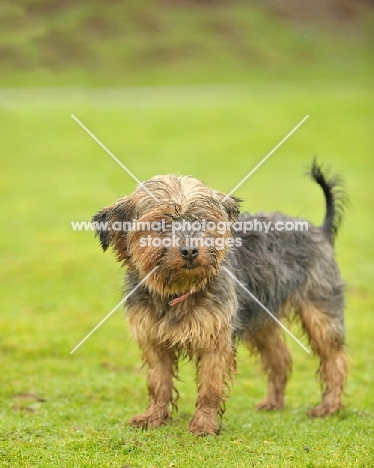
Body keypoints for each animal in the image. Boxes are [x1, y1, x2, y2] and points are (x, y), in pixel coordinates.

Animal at [93, 160, 348, 436]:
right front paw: (153, 417)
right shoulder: (154, 341)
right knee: (279, 358)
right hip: (262, 320)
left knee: (334, 359)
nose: (190, 250)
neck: (177, 291)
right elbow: (158, 383)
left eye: (203, 222)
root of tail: (319, 231)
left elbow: (209, 387)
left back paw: (329, 407)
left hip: (320, 313)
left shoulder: (214, 340)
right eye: (160, 225)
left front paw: (203, 425)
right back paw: (274, 402)